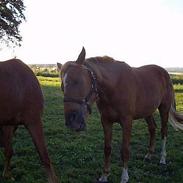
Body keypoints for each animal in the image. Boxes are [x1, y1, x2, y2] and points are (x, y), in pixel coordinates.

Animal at [57, 48, 183, 182]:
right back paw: (149, 154)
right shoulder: (106, 121)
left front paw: (124, 177)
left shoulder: (127, 121)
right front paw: (104, 175)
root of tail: (165, 73)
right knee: (152, 128)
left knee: (164, 131)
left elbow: (125, 150)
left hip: (164, 109)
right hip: (147, 111)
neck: (114, 86)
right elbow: (107, 148)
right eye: (62, 87)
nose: (72, 122)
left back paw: (162, 158)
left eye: (77, 81)